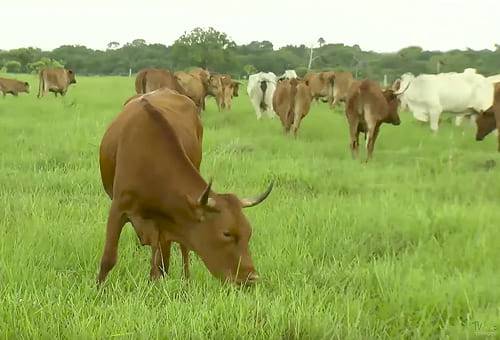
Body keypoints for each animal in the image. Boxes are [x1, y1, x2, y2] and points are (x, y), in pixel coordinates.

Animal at [95, 87, 272, 284]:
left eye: (249, 232)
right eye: (227, 233)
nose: (251, 278)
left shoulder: (167, 221)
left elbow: (162, 265)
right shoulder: (118, 208)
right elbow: (108, 259)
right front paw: (99, 288)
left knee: (181, 250)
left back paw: (186, 279)